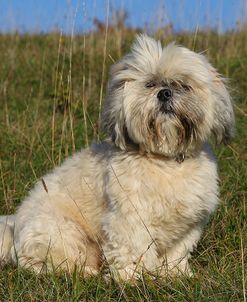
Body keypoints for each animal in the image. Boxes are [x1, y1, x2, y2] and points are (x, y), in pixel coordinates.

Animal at [0, 34, 234, 280]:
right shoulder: (129, 219)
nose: (164, 93)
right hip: (60, 231)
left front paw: (174, 274)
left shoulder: (188, 225)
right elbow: (132, 251)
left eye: (184, 85)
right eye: (150, 84)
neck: (166, 161)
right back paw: (87, 272)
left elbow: (177, 253)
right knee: (45, 263)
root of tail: (14, 226)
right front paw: (133, 279)